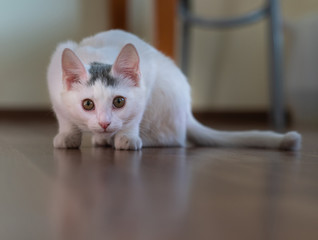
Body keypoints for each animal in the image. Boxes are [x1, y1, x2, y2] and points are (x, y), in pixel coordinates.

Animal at [46, 29, 300, 150]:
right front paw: (67, 136)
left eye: (119, 101)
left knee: (174, 139)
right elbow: (65, 118)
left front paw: (127, 137)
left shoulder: (148, 79)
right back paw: (102, 138)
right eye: (87, 104)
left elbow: (133, 118)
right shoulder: (54, 79)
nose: (105, 123)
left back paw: (127, 139)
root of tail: (187, 113)